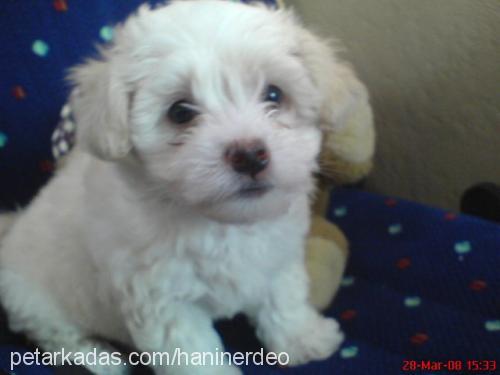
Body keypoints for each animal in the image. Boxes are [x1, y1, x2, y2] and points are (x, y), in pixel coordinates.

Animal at [0, 1, 368, 374]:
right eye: (180, 112)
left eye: (274, 94)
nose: (250, 154)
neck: (221, 223)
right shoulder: (160, 298)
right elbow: (189, 349)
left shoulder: (277, 257)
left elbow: (284, 298)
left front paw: (303, 339)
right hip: (33, 300)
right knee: (57, 336)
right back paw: (100, 359)